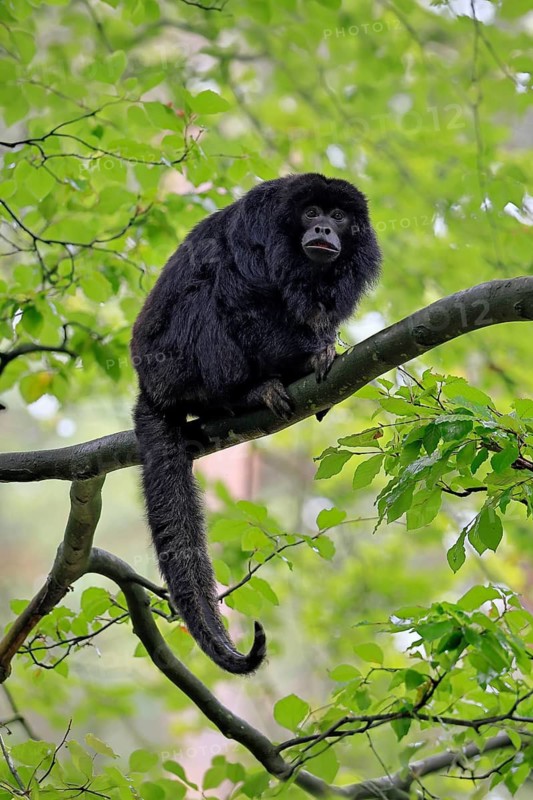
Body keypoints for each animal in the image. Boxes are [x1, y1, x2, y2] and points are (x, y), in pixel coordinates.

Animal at [130, 173, 381, 674]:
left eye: (338, 215)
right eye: (311, 212)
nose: (323, 228)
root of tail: (149, 385)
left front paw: (324, 343)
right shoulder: (258, 224)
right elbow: (243, 296)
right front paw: (311, 354)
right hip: (175, 365)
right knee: (213, 293)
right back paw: (244, 392)